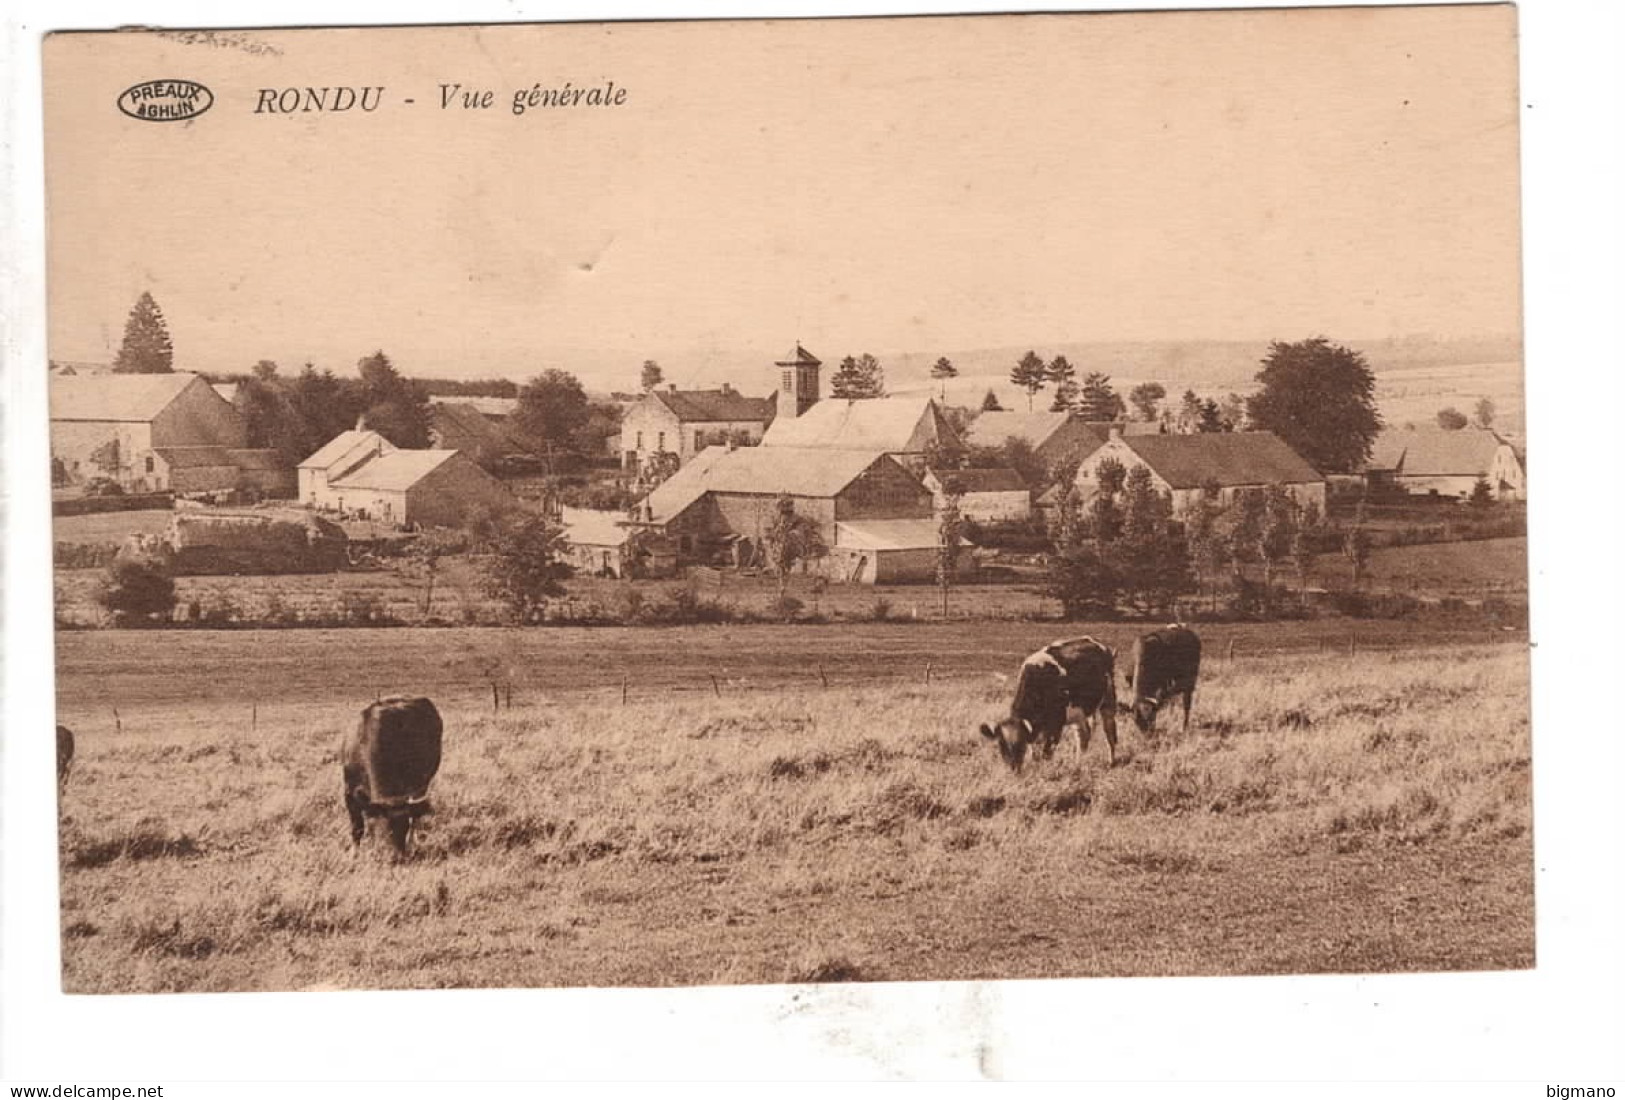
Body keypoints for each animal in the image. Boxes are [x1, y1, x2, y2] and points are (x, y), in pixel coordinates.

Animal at [341, 695, 445, 857]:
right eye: (377, 826)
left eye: (404, 826)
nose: (395, 857)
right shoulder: (349, 793)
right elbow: (357, 828)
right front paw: (354, 853)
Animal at [975, 633, 1118, 773]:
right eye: (1001, 746)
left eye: (1021, 745)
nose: (1014, 769)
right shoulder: (1036, 729)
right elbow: (1035, 754)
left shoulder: (1056, 725)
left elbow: (1046, 754)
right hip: (1079, 711)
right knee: (1083, 735)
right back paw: (1077, 765)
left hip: (1109, 698)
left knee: (1109, 731)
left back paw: (1111, 762)